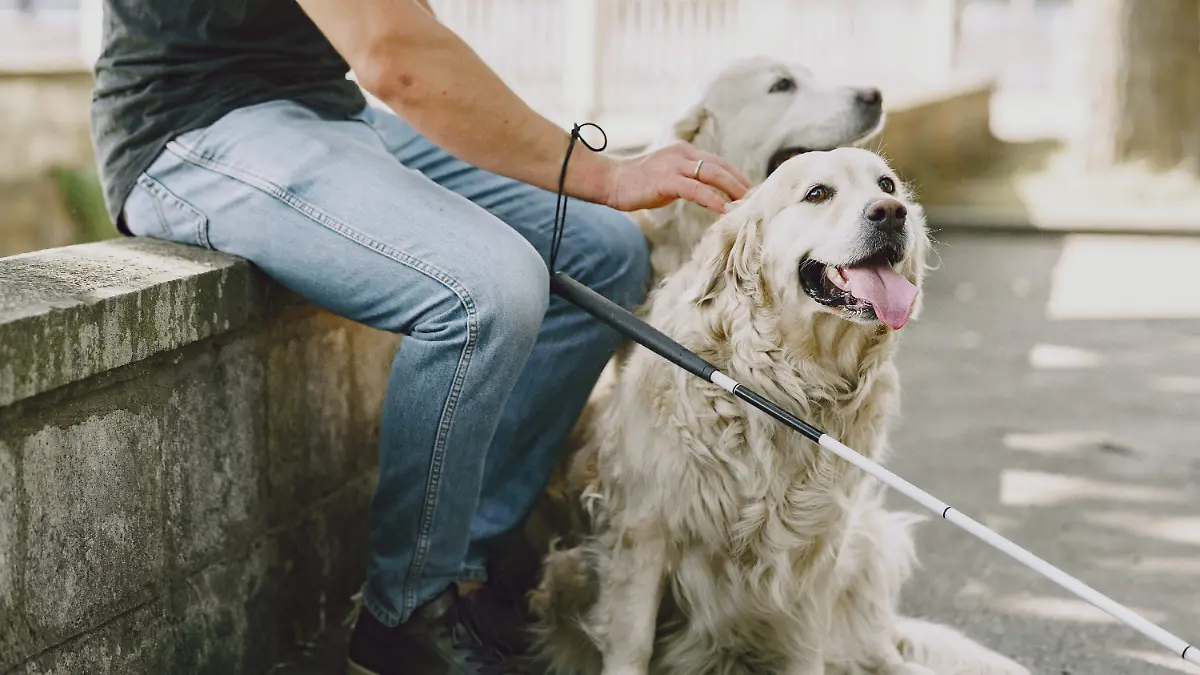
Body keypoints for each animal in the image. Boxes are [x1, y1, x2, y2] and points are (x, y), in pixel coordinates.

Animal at [525, 148, 1032, 675]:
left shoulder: (819, 549)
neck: (789, 384)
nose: (892, 213)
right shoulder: (643, 529)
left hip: (868, 546)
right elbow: (631, 642)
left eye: (888, 185)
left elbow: (805, 648)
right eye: (817, 193)